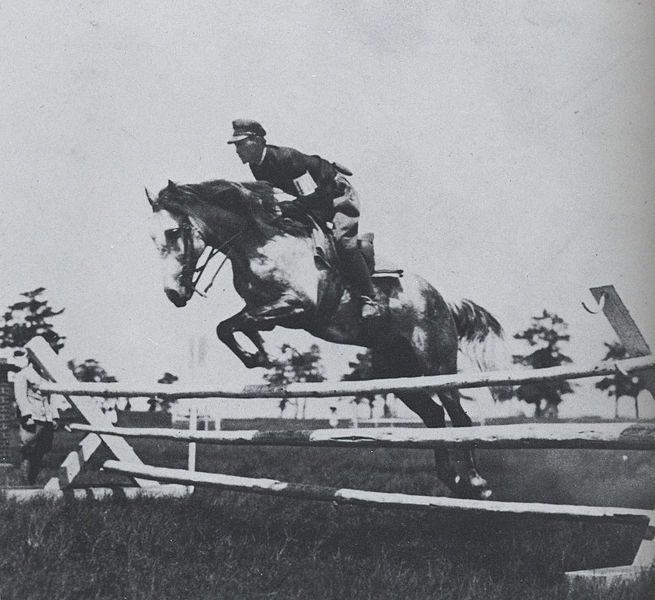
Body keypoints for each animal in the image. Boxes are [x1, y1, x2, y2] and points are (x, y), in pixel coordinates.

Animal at [146, 179, 510, 502]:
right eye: (152, 237)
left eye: (173, 232)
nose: (174, 294)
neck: (257, 242)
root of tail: (442, 301)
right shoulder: (264, 309)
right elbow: (232, 326)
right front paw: (259, 356)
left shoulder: (298, 306)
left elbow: (235, 324)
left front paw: (258, 356)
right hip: (396, 373)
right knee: (434, 417)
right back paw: (454, 480)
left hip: (436, 365)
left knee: (459, 418)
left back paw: (476, 483)